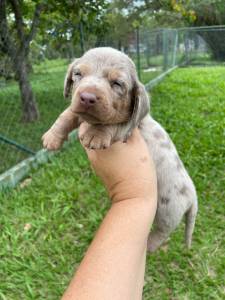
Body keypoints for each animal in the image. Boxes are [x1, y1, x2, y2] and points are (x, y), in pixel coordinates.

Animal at [42, 47, 197, 253]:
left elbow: (112, 124)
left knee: (163, 232)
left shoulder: (127, 128)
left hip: (168, 210)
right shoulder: (78, 112)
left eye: (117, 83)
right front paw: (52, 138)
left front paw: (96, 135)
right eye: (78, 74)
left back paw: (148, 245)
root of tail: (193, 196)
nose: (87, 97)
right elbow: (67, 114)